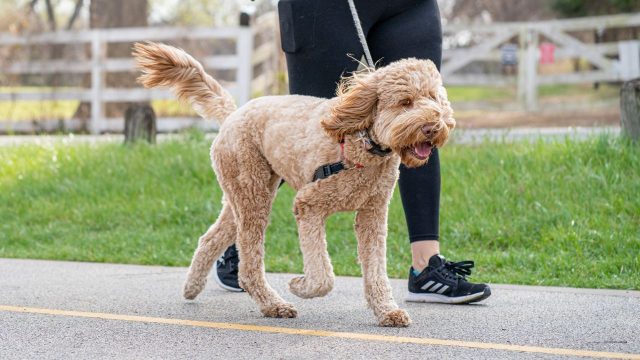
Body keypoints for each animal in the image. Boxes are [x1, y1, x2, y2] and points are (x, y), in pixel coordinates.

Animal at [134, 42, 456, 326]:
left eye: (433, 98)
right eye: (405, 102)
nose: (433, 127)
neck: (362, 143)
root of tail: (233, 114)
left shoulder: (372, 215)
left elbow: (376, 270)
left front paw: (387, 311)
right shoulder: (308, 205)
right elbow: (323, 276)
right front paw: (300, 285)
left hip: (246, 193)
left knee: (211, 239)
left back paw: (192, 287)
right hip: (252, 194)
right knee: (249, 265)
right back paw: (273, 304)